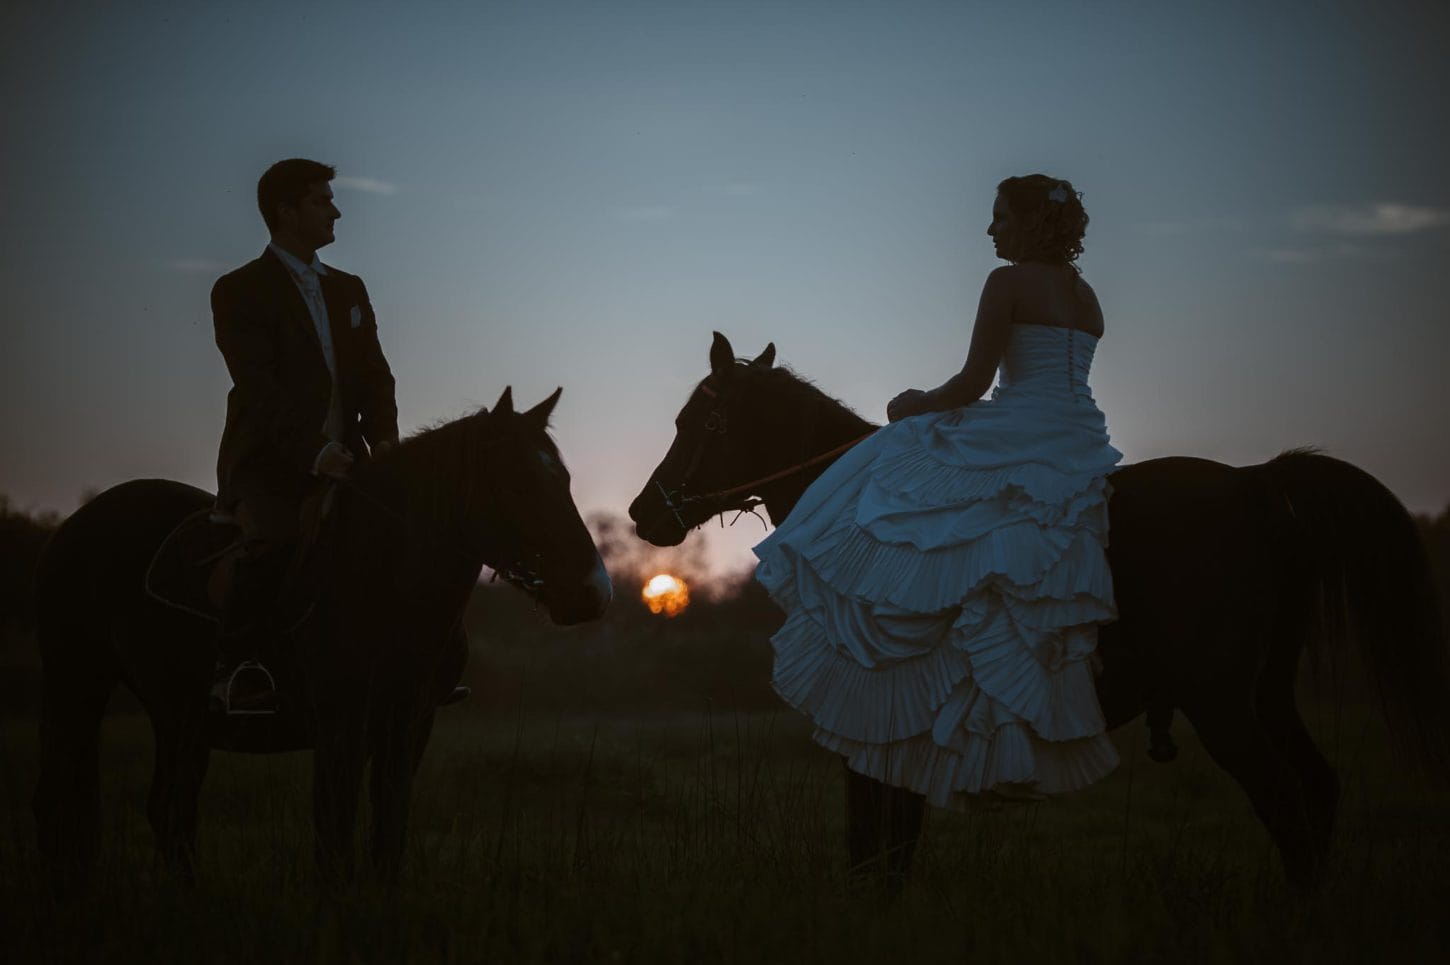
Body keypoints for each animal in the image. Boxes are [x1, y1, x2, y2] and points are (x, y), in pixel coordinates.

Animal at [34, 388, 611, 880]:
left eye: (563, 481)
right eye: (518, 483)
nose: (594, 592)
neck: (383, 582)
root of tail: (78, 523)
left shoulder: (408, 727)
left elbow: (387, 837)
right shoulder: (339, 727)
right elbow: (333, 839)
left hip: (179, 717)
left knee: (170, 811)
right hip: (78, 691)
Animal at [626, 333, 1450, 886]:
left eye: (698, 423)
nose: (642, 513)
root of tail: (1256, 484)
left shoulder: (867, 713)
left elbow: (874, 837)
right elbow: (891, 839)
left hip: (1222, 703)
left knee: (1287, 804)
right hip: (1268, 693)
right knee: (1317, 791)